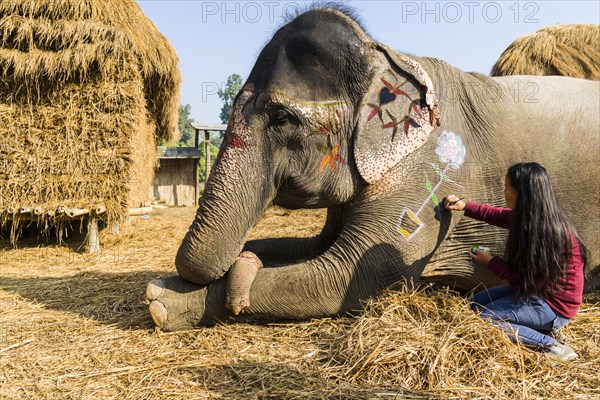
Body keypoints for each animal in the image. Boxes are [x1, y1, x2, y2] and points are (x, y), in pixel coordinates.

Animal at [145, 7, 600, 332]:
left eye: (282, 118)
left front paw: (159, 300)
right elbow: (314, 245)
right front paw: (240, 262)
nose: (239, 264)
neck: (388, 54)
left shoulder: (423, 175)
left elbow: (341, 276)